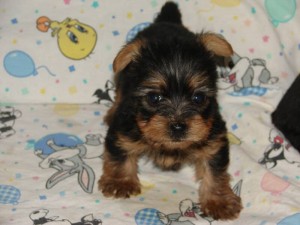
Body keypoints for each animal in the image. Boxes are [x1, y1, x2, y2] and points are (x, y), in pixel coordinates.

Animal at [99, 1, 243, 220]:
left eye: (198, 98)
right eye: (154, 98)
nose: (178, 126)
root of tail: (167, 20)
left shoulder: (214, 136)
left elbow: (215, 170)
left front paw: (219, 200)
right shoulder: (124, 128)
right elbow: (120, 152)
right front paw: (120, 181)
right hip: (123, 77)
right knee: (119, 92)